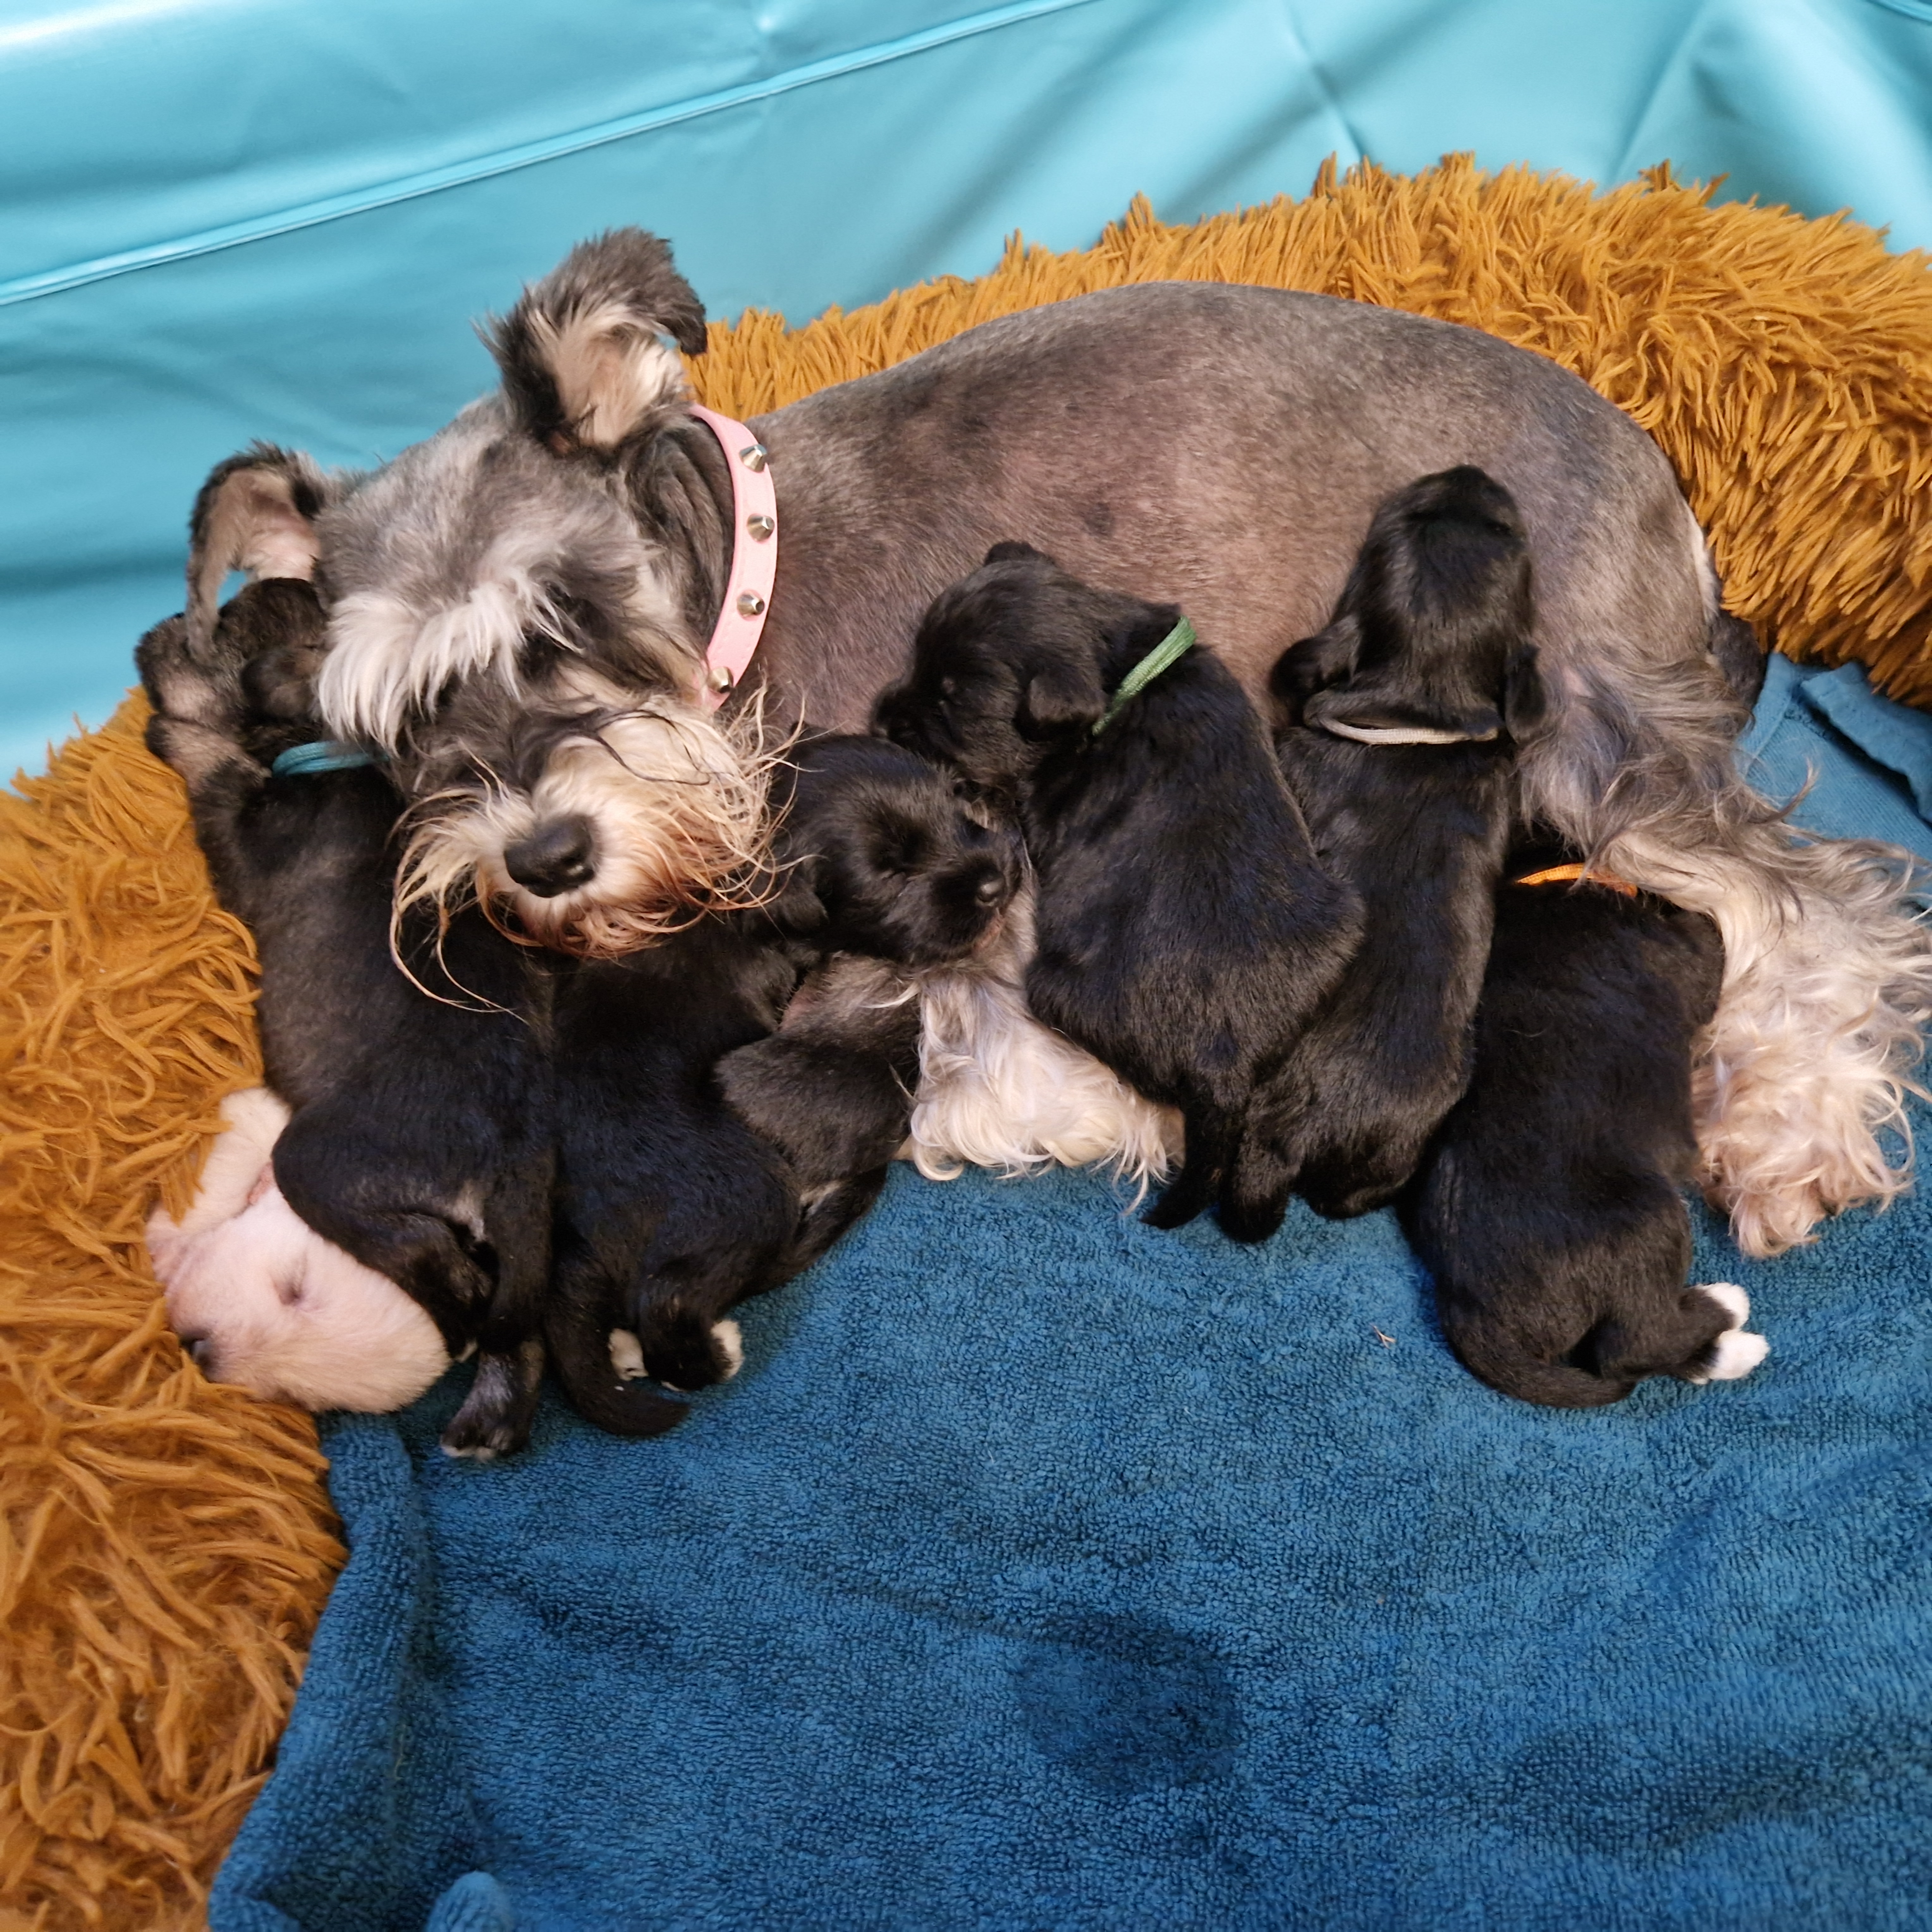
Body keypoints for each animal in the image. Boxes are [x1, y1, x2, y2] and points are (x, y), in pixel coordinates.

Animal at [138, 572, 553, 1453]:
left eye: (219, 630)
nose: (153, 633)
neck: (337, 754)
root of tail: (513, 1157)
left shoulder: (239, 825)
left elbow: (213, 768)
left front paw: (174, 730)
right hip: (522, 1251)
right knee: (518, 1329)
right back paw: (491, 1415)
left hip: (320, 1163)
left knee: (432, 1259)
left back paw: (454, 1320)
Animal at [877, 545, 1360, 1236]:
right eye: (918, 659)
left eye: (950, 703)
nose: (880, 719)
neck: (1124, 671)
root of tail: (1223, 1069)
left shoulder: (1043, 804)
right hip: (1343, 922)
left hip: (1057, 991)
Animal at [1406, 858, 1770, 1406]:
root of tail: (1470, 1311)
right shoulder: (1687, 955)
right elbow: (1707, 937)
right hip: (1652, 1223)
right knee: (1634, 1345)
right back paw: (1727, 1313)